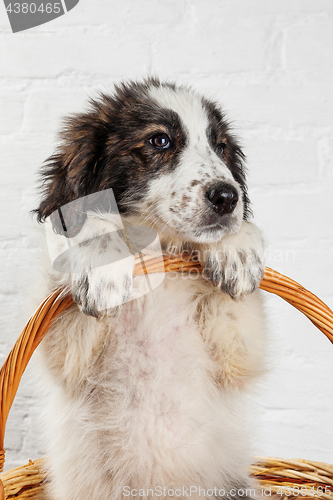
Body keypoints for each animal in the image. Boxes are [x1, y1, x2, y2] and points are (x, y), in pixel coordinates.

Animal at [35, 78, 266, 500]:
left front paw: (236, 246)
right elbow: (84, 223)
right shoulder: (66, 354)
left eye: (220, 146)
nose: (228, 197)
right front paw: (101, 256)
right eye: (160, 141)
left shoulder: (238, 355)